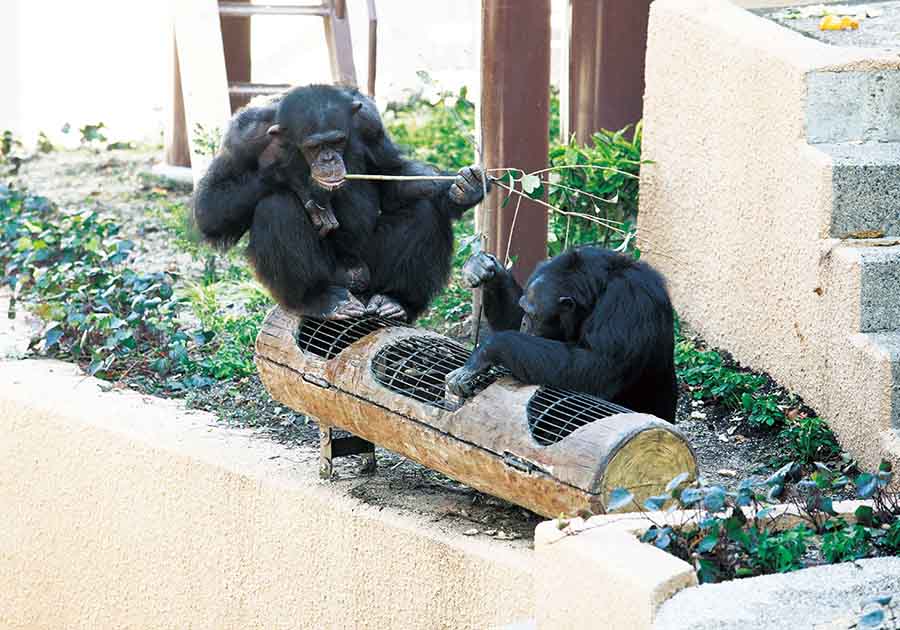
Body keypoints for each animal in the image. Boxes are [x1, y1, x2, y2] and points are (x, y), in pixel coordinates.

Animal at [193, 84, 488, 320]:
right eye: (314, 147)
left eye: (337, 141)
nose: (328, 159)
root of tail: (354, 278)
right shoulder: (242, 136)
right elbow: (210, 207)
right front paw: (294, 177)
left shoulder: (370, 121)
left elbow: (392, 173)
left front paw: (463, 189)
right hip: (330, 277)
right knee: (276, 206)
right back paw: (318, 298)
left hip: (371, 273)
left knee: (423, 209)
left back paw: (397, 300)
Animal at [444, 248, 676, 424]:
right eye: (525, 310)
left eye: (533, 315)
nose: (524, 323)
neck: (596, 296)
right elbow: (510, 321)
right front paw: (486, 268)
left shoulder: (628, 301)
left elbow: (597, 368)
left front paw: (486, 350)